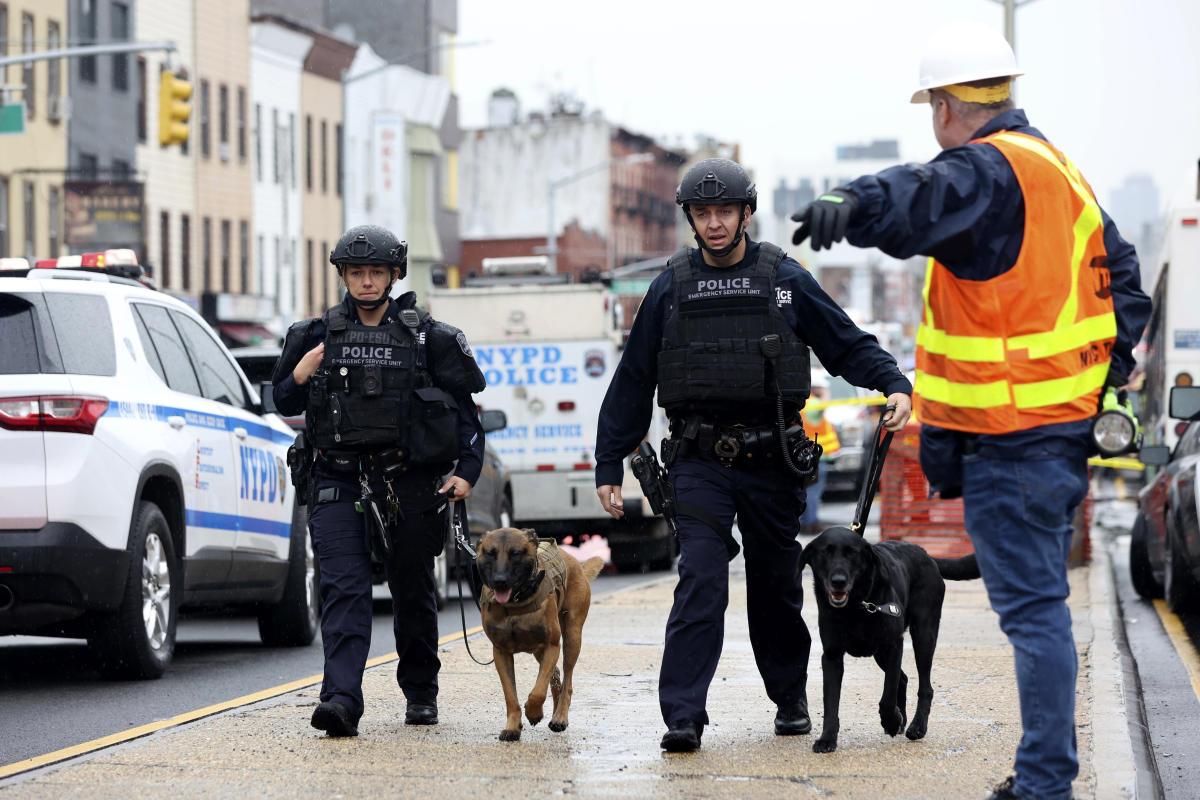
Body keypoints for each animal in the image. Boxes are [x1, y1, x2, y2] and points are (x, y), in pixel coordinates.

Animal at [475, 527, 604, 743]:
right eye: (490, 553)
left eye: (515, 553)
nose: (500, 582)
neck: (516, 603)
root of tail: (575, 561)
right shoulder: (501, 653)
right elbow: (511, 695)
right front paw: (513, 727)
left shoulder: (552, 645)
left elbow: (538, 691)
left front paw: (533, 712)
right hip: (540, 651)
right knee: (557, 676)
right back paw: (555, 712)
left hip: (571, 638)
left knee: (567, 681)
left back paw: (560, 717)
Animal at [801, 527, 979, 753]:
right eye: (824, 552)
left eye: (852, 553)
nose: (838, 581)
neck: (855, 607)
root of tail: (927, 555)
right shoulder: (832, 655)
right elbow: (831, 702)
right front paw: (827, 739)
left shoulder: (894, 645)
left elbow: (888, 693)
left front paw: (891, 720)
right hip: (881, 655)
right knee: (903, 678)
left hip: (923, 635)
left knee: (924, 687)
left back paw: (916, 726)